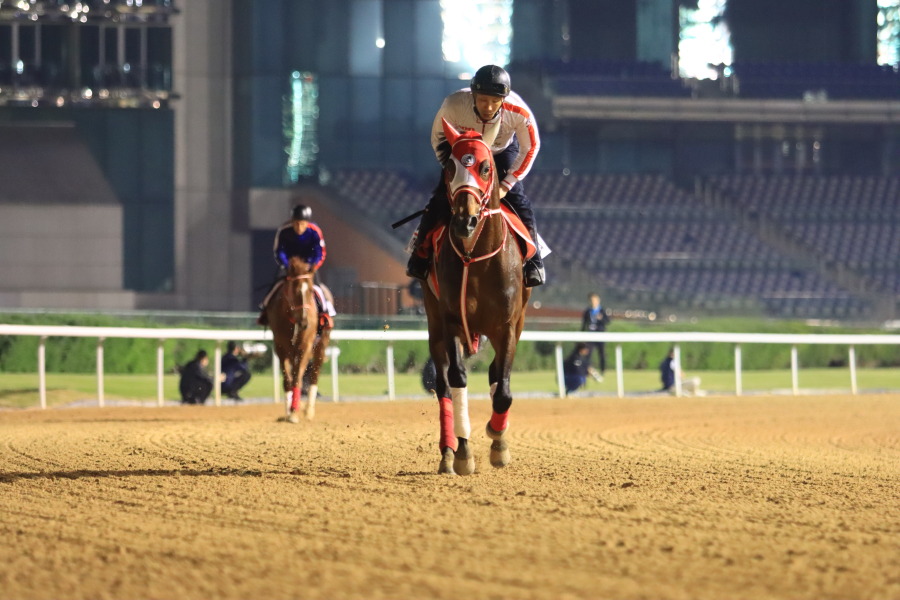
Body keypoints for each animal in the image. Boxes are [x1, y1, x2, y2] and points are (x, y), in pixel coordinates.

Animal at [268, 256, 320, 422]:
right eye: (294, 290)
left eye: (310, 290)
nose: (304, 322)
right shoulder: (280, 346)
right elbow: (288, 379)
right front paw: (290, 411)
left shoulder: (305, 346)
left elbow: (298, 377)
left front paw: (295, 411)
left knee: (314, 373)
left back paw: (308, 410)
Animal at [424, 116, 532, 474]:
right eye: (450, 167)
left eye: (485, 167)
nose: (465, 221)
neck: (476, 258)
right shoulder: (452, 322)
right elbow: (457, 380)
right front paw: (462, 453)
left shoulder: (508, 327)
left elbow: (504, 390)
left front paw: (498, 441)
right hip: (433, 323)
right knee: (443, 386)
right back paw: (446, 453)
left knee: (495, 375)